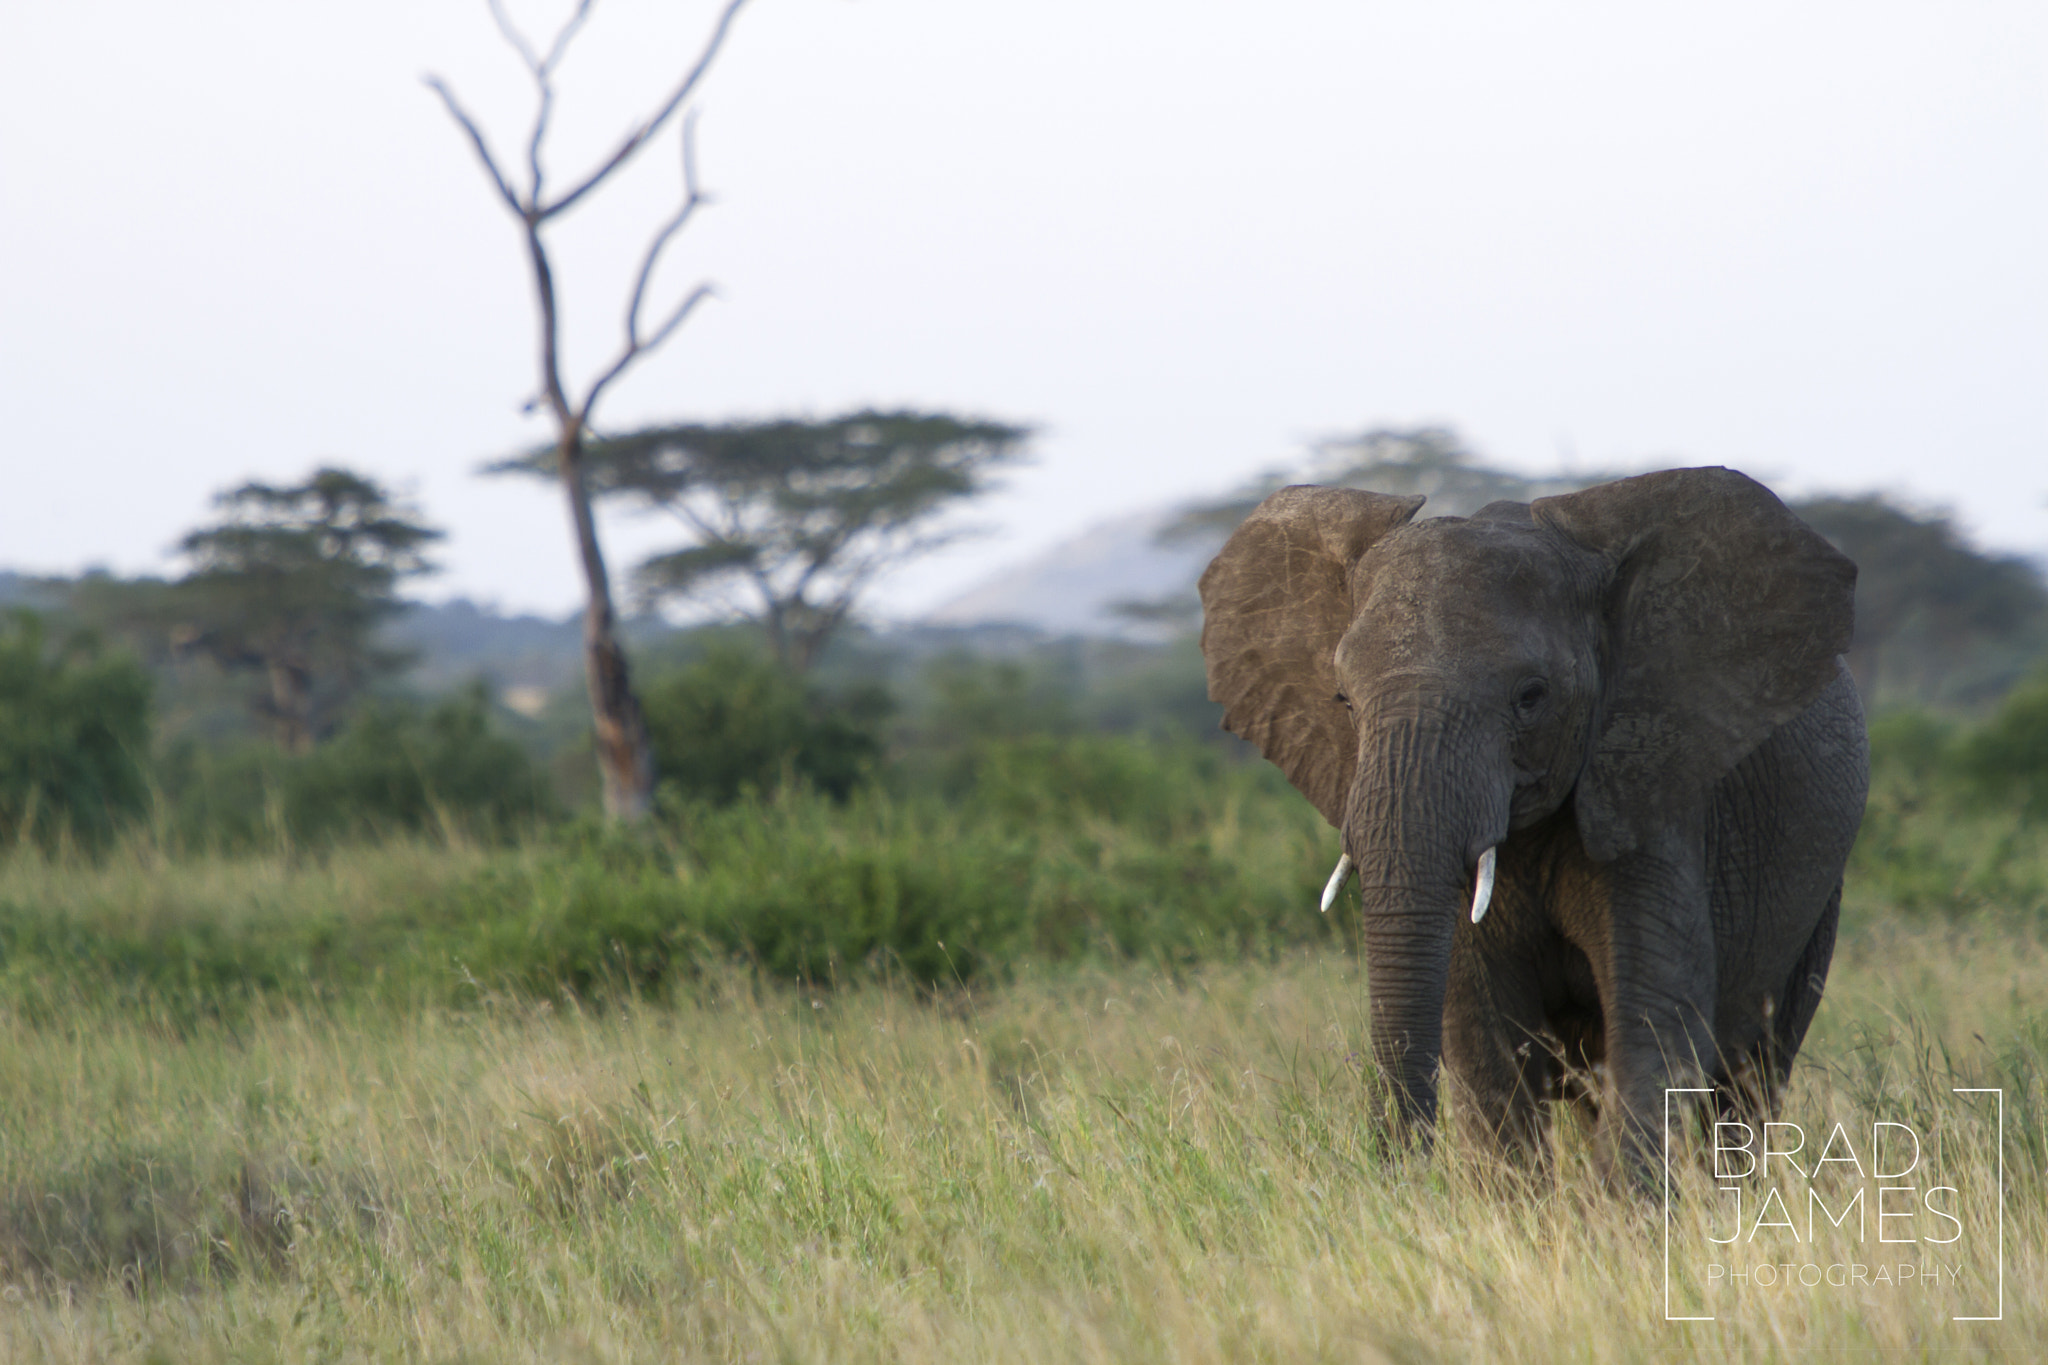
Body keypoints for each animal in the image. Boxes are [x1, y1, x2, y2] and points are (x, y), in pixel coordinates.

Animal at [1196, 464, 1875, 1178]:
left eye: (1531, 697)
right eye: (1344, 701)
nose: (1395, 1176)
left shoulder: (1653, 788)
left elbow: (1655, 1017)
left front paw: (1625, 1211)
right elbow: (1483, 1032)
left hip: (1817, 895)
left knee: (1752, 1072)